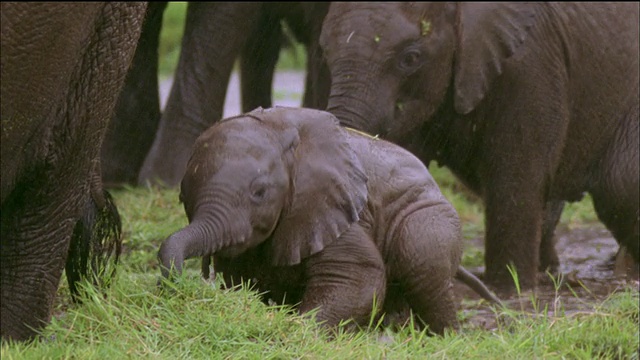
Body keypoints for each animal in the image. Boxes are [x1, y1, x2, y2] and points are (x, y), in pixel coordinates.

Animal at [159, 106, 500, 334]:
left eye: (259, 193)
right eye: (182, 197)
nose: (175, 285)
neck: (278, 129)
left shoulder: (333, 207)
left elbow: (357, 277)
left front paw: (297, 329)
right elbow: (241, 279)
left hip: (429, 218)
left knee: (423, 267)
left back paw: (443, 337)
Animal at [320, 2, 640, 290]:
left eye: (411, 58)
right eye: (325, 50)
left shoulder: (530, 66)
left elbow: (514, 181)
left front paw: (510, 291)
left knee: (619, 185)